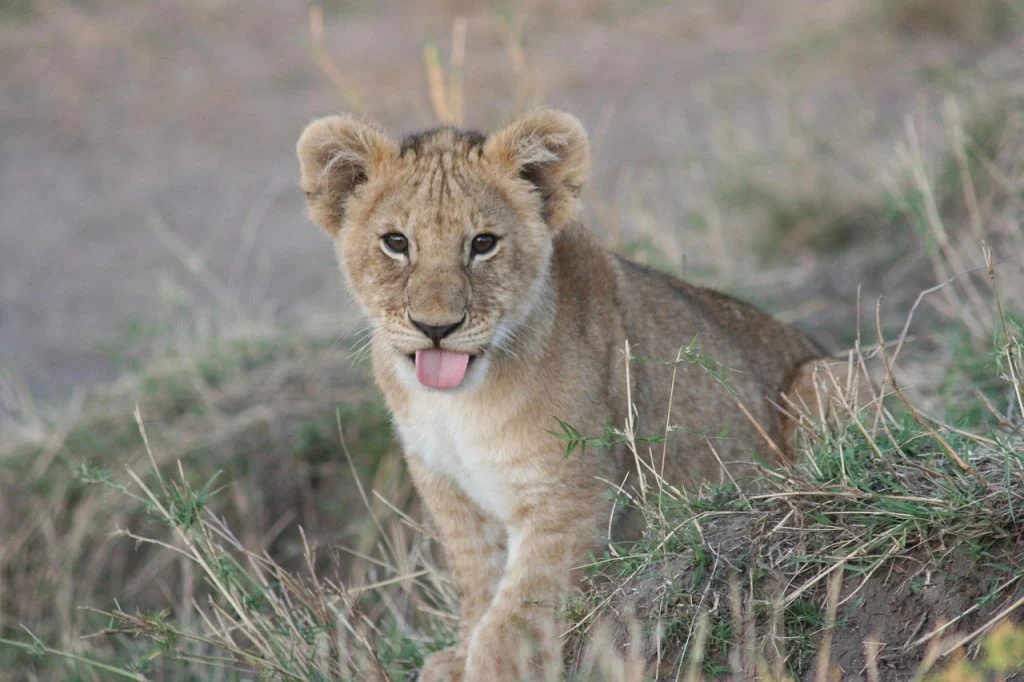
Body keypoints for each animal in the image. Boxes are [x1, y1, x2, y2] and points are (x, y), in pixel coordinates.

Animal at [297, 109, 839, 680]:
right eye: (396, 243)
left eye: (483, 243)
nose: (436, 328)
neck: (456, 407)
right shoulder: (450, 489)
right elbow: (479, 583)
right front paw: (457, 656)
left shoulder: (572, 499)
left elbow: (513, 619)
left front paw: (482, 665)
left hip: (819, 377)